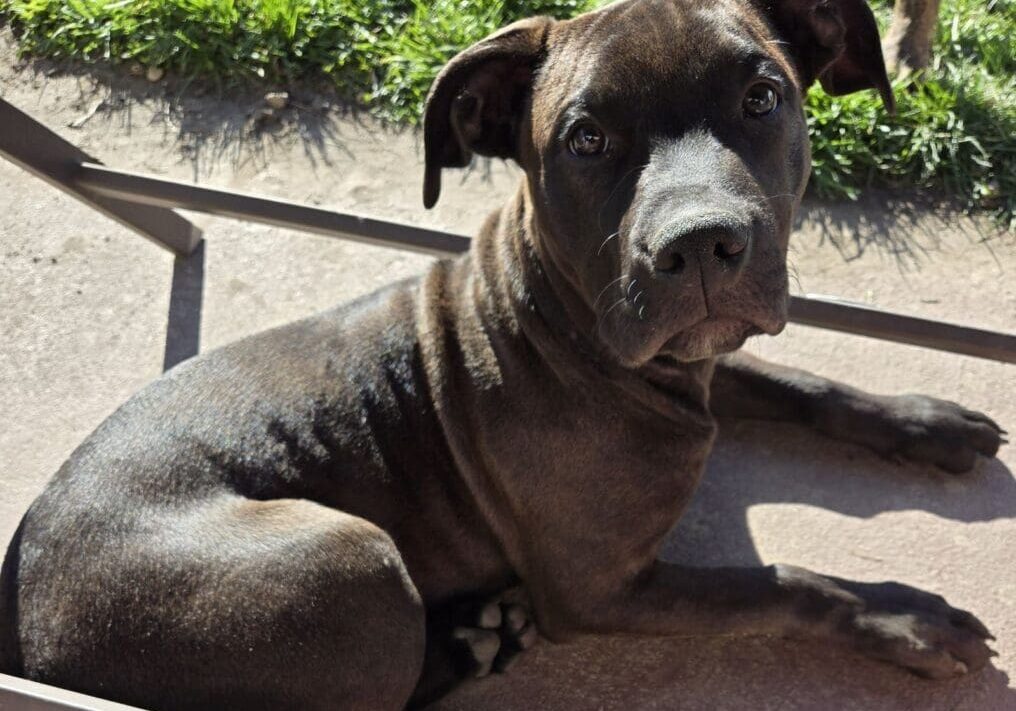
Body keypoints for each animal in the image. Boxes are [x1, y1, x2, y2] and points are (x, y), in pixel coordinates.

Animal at [0, 0, 999, 706]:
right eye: (585, 139)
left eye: (762, 98)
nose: (701, 244)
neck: (569, 327)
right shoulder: (600, 589)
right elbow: (777, 584)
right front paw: (902, 615)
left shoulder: (696, 358)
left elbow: (801, 381)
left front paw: (927, 421)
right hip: (348, 560)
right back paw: (470, 639)